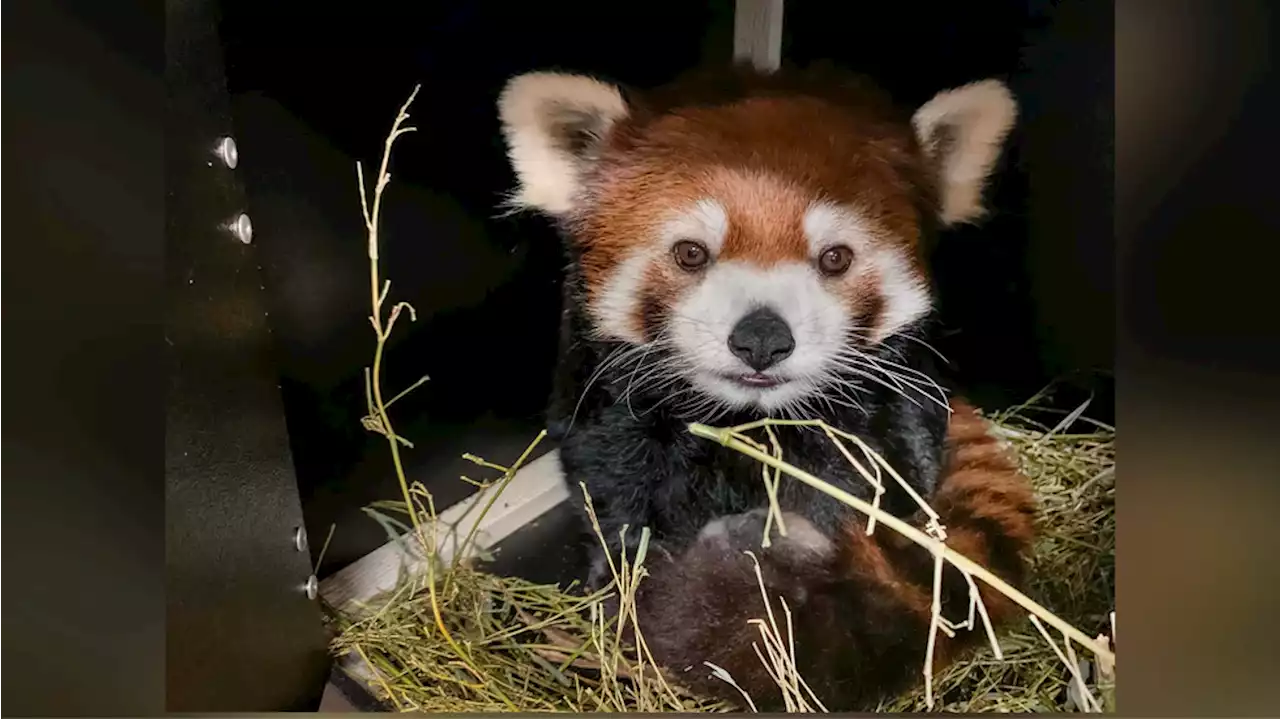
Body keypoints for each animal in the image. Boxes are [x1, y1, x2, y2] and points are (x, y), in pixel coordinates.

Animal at [494, 63, 1034, 711]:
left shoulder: (871, 432)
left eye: (835, 258)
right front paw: (619, 587)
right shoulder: (607, 418)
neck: (746, 420)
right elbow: (615, 500)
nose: (761, 339)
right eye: (691, 253)